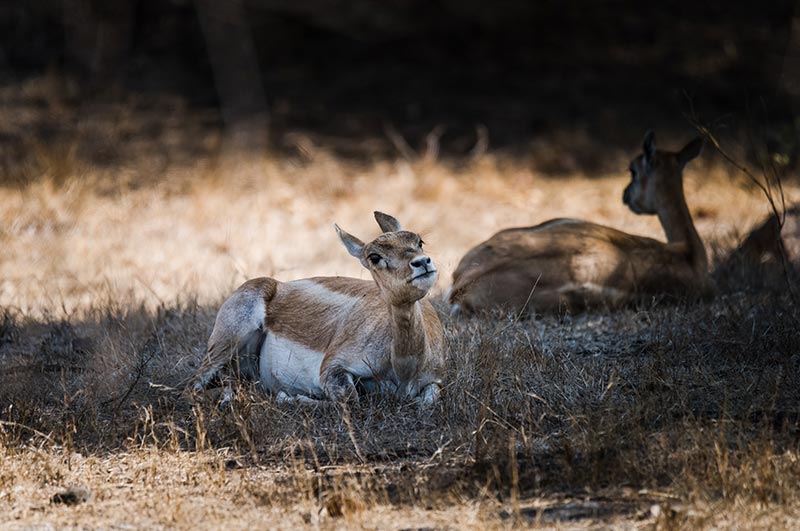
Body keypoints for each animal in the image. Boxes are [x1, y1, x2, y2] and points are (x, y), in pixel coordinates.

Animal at [191, 212, 446, 408]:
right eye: (374, 256)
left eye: (419, 241)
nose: (422, 263)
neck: (403, 369)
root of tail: (277, 285)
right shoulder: (332, 367)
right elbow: (349, 400)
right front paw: (287, 397)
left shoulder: (434, 382)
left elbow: (427, 401)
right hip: (226, 342)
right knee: (192, 389)